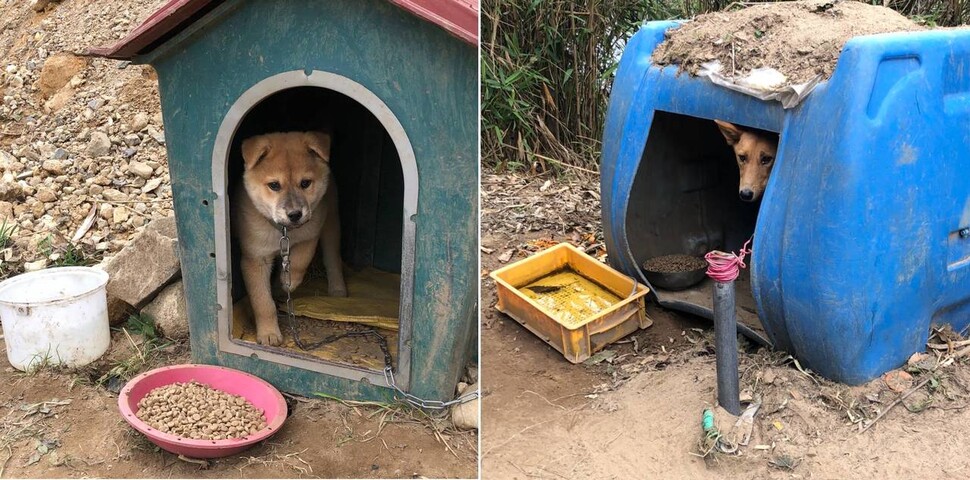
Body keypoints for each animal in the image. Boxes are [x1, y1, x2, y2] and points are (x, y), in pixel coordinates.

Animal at [233, 131, 346, 346]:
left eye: (305, 183)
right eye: (274, 185)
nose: (295, 214)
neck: (285, 231)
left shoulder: (310, 235)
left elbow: (300, 263)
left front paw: (287, 281)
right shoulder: (255, 259)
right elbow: (263, 302)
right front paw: (269, 333)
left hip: (331, 224)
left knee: (333, 258)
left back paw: (338, 288)